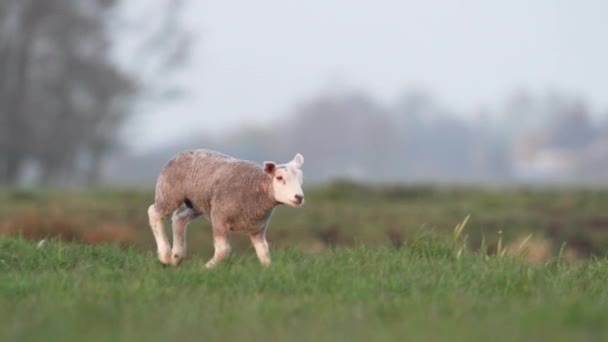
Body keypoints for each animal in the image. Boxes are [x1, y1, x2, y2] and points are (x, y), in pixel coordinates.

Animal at [147, 149, 304, 268]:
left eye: (301, 178)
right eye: (279, 178)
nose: (299, 197)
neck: (255, 187)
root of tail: (182, 153)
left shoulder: (257, 229)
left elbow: (264, 251)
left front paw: (268, 270)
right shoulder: (220, 217)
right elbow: (223, 250)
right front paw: (206, 269)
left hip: (196, 203)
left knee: (179, 217)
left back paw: (176, 257)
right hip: (170, 192)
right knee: (154, 212)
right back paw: (165, 255)